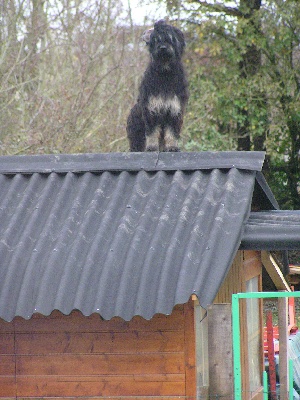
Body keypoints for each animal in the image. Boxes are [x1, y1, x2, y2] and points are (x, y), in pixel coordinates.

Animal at [126, 20, 188, 152]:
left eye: (170, 38)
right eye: (156, 40)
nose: (163, 47)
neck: (165, 73)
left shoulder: (174, 110)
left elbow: (172, 132)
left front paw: (173, 147)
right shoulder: (151, 109)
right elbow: (152, 132)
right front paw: (151, 147)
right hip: (136, 135)